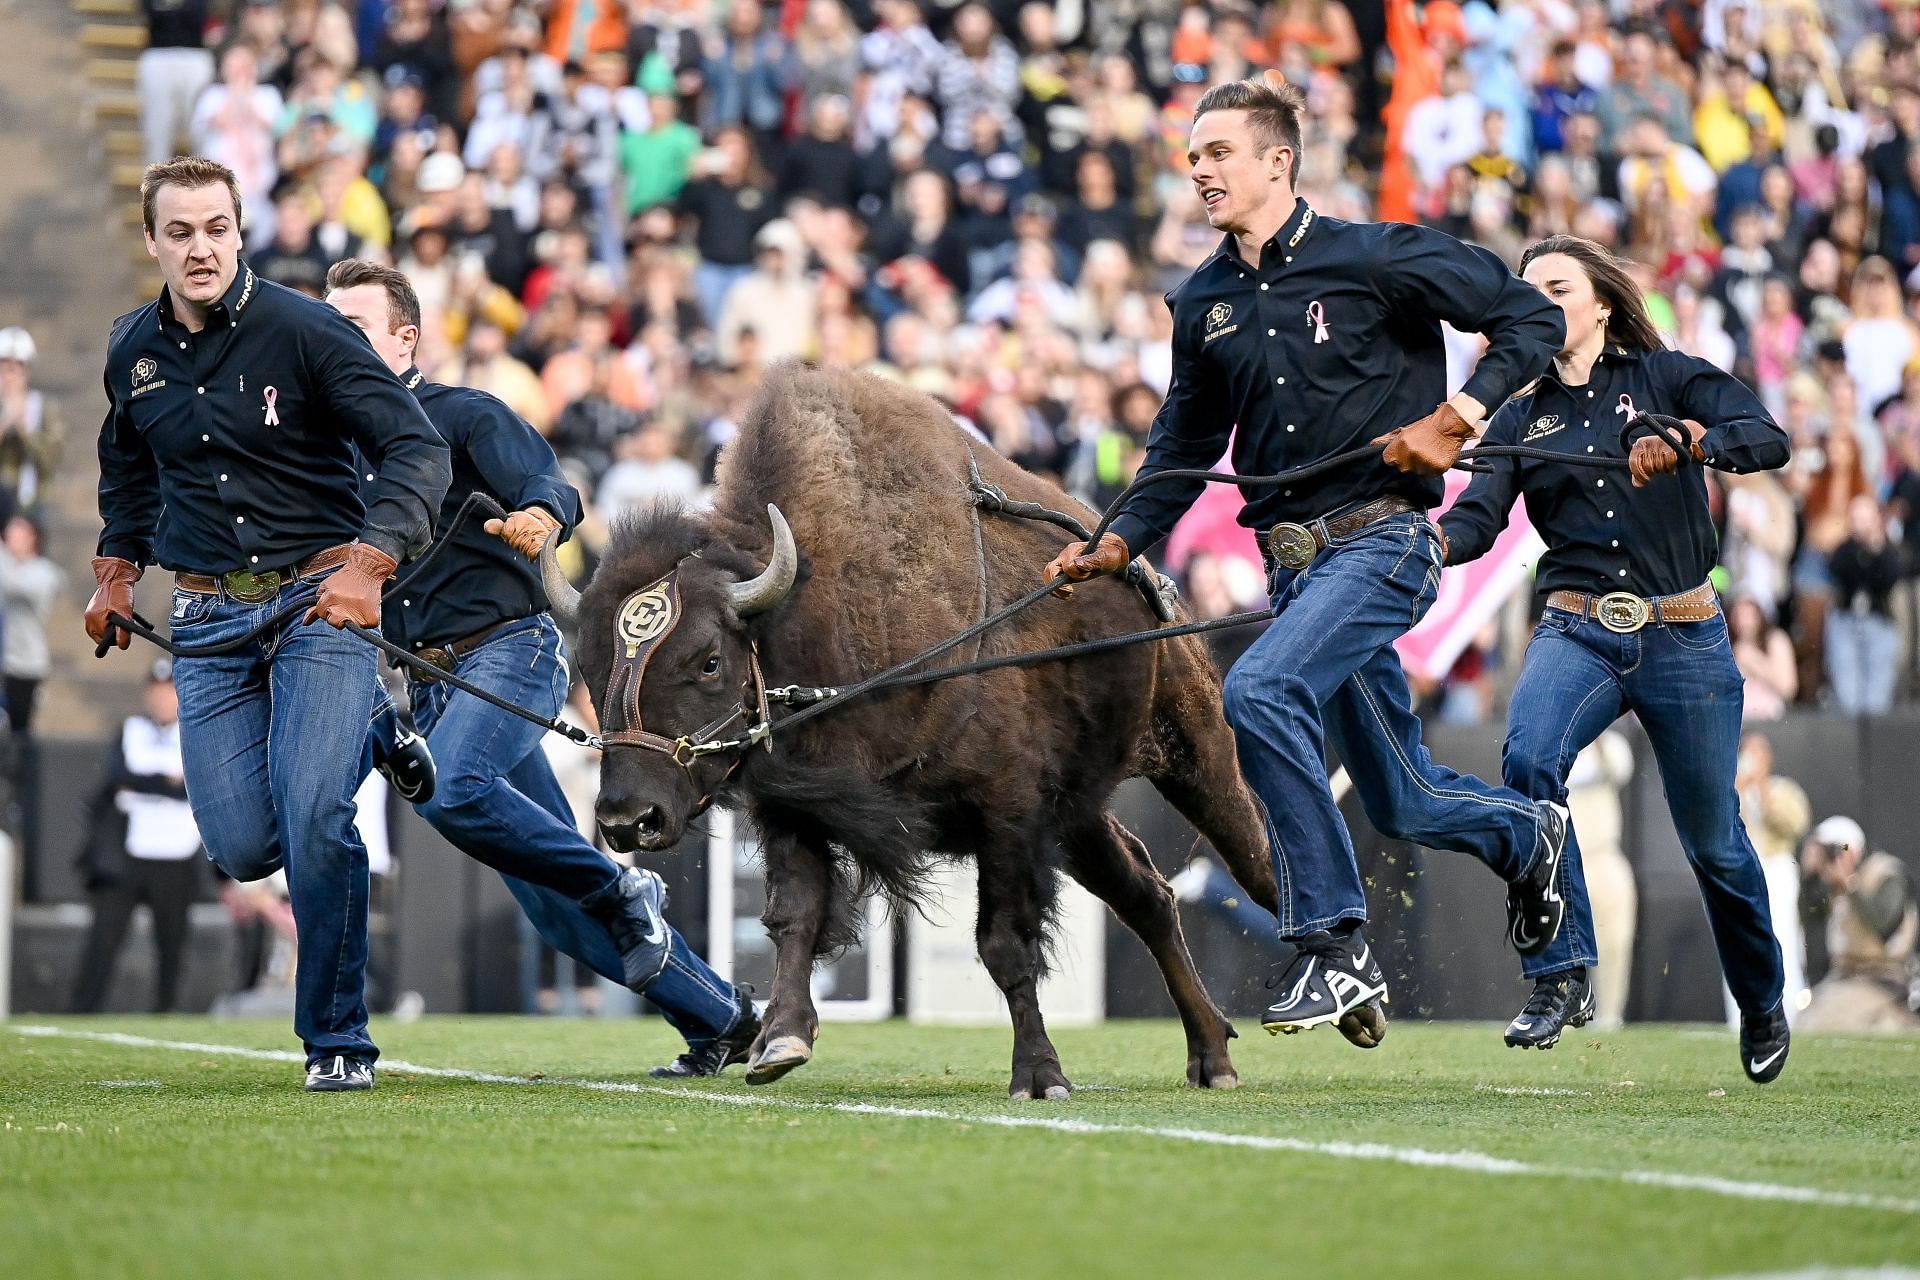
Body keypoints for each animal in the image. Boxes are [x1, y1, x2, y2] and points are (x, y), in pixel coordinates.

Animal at [545, 362, 1274, 1105]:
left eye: (708, 660)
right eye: (589, 666)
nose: (629, 819)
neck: (813, 616)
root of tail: (1150, 579)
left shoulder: (1006, 813)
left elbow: (1004, 943)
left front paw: (1040, 1077)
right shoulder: (793, 809)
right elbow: (792, 917)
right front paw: (779, 1043)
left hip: (1193, 753)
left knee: (1256, 857)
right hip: (1077, 817)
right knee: (1147, 895)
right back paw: (1210, 1055)